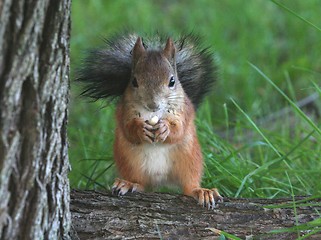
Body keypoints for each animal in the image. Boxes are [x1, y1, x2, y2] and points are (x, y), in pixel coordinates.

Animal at [77, 32, 222, 209]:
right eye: (134, 81)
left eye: (172, 81)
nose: (153, 104)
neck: (154, 114)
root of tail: (160, 179)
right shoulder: (124, 111)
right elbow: (128, 129)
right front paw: (140, 129)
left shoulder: (184, 111)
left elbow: (179, 129)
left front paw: (165, 128)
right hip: (130, 162)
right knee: (141, 184)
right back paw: (129, 184)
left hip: (189, 160)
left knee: (189, 185)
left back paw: (201, 191)